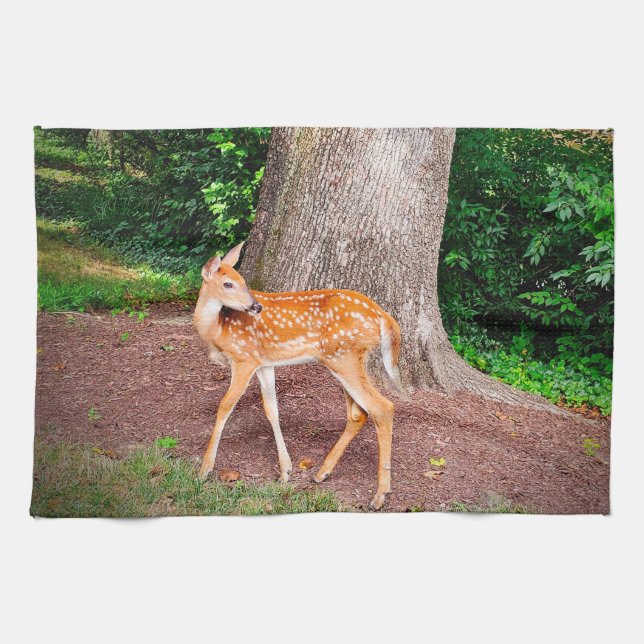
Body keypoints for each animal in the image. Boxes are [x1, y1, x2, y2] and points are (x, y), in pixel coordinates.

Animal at [193, 242, 403, 510]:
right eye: (228, 283)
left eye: (243, 282)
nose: (256, 306)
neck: (216, 329)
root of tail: (383, 316)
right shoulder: (264, 364)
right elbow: (271, 410)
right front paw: (286, 471)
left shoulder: (243, 359)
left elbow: (224, 406)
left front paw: (205, 469)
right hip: (347, 359)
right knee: (358, 413)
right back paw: (322, 473)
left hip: (343, 357)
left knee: (383, 407)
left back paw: (379, 496)